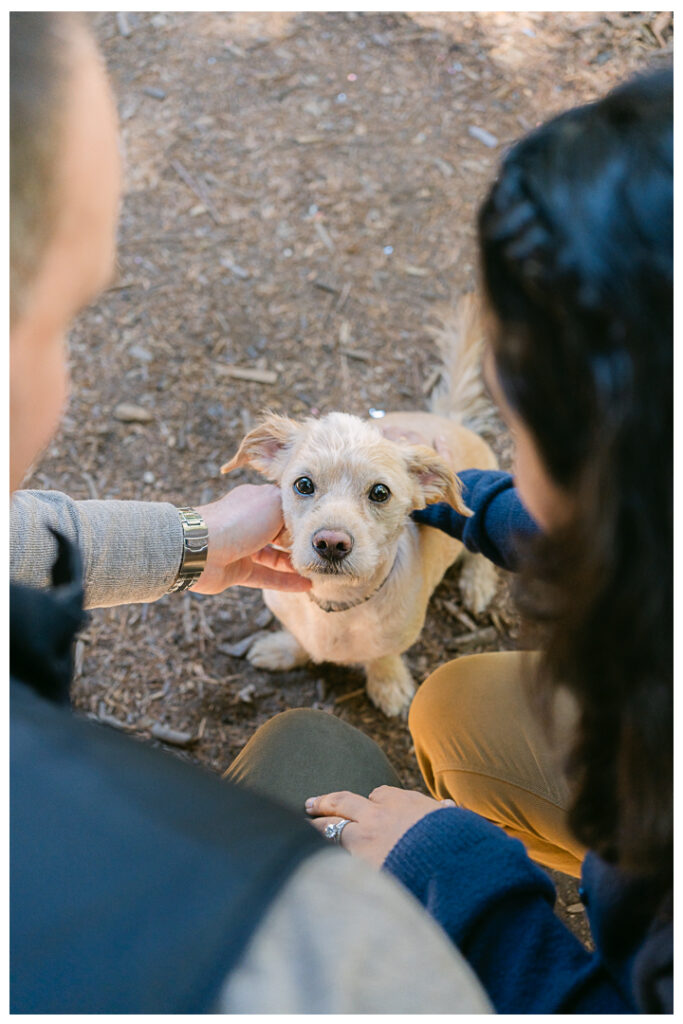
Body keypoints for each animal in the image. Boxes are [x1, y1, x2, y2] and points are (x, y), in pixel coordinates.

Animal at [223, 294, 497, 712]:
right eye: (303, 484)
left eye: (380, 492)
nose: (332, 544)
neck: (335, 602)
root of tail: (452, 421)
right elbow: (299, 638)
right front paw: (283, 650)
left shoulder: (397, 636)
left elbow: (383, 655)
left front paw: (388, 684)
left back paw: (477, 583)